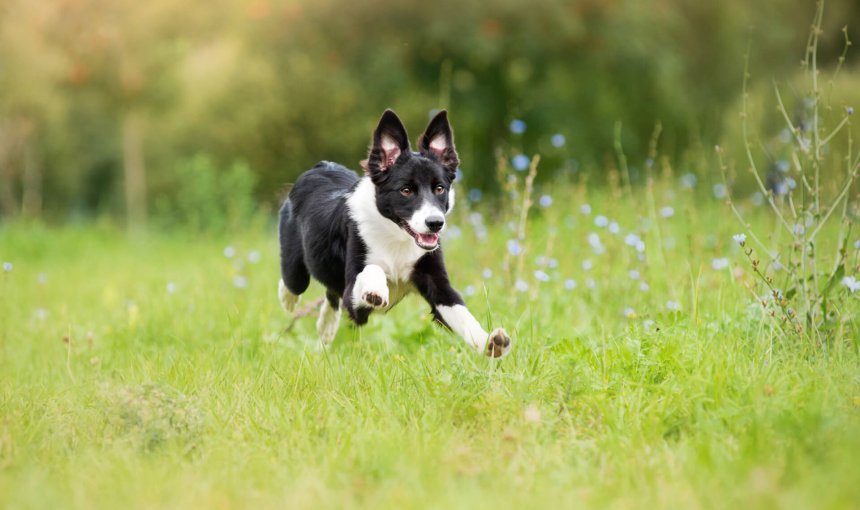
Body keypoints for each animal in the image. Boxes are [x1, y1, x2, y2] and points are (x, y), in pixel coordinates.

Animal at [278, 109, 512, 356]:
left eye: (439, 188)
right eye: (406, 190)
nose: (435, 223)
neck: (397, 238)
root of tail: (322, 165)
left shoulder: (437, 282)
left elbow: (461, 314)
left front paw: (492, 342)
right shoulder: (354, 298)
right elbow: (372, 270)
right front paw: (375, 289)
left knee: (331, 295)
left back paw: (326, 328)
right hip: (295, 267)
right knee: (294, 283)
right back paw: (288, 300)